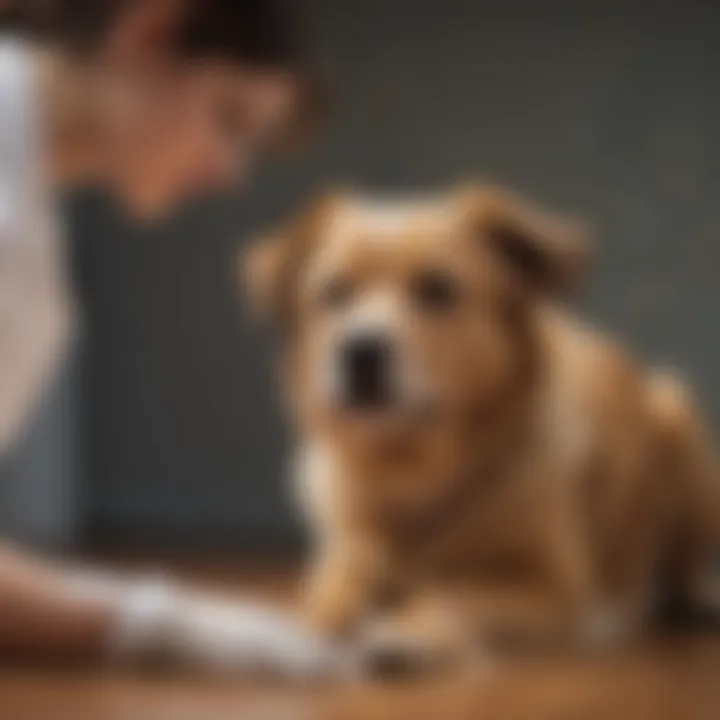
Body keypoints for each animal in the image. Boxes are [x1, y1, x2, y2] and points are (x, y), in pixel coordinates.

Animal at [243, 183, 720, 672]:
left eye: (438, 289)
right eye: (334, 292)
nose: (359, 350)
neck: (414, 477)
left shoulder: (553, 588)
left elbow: (451, 593)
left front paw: (409, 631)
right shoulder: (348, 555)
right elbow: (331, 594)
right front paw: (312, 626)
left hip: (680, 421)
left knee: (685, 564)